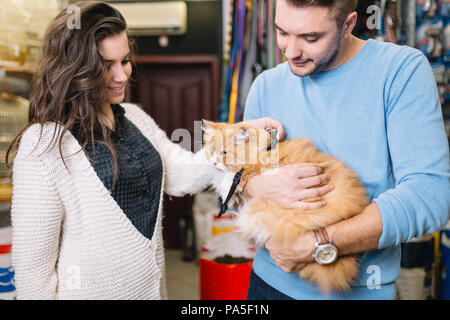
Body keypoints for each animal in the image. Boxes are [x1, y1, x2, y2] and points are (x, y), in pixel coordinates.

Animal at [202, 120, 368, 296]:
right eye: (211, 152)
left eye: (224, 153)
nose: (214, 162)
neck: (263, 150)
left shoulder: (253, 168)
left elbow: (233, 177)